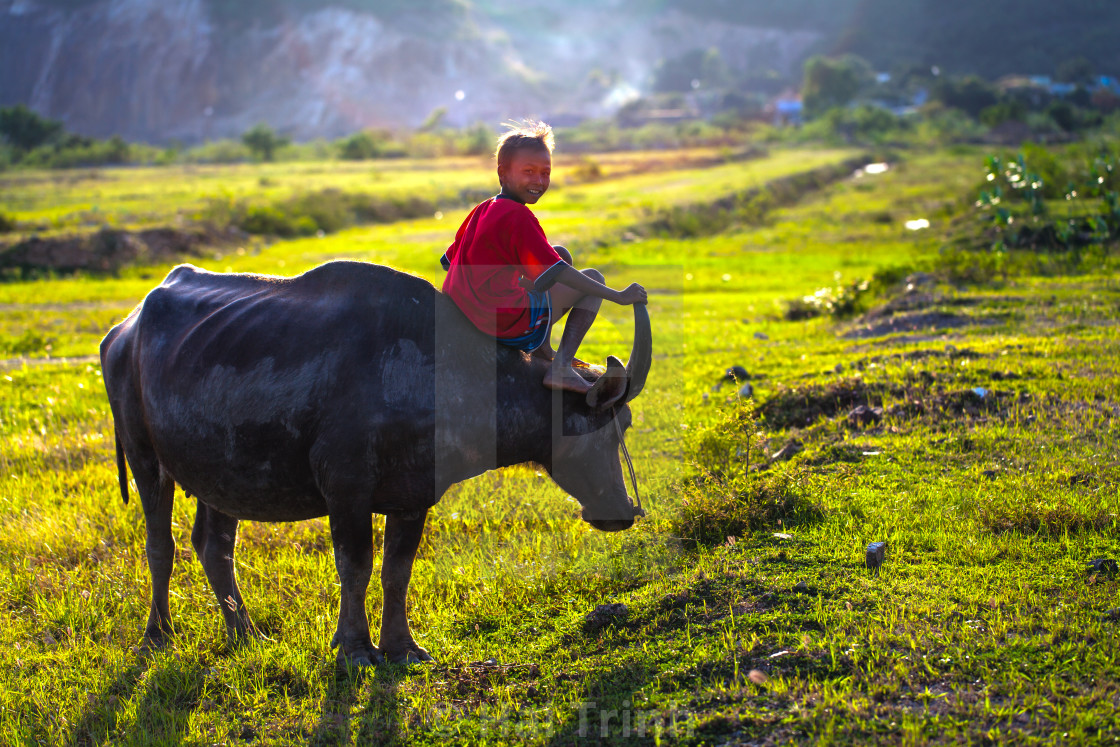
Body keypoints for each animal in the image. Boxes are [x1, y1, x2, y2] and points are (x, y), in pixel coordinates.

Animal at [104, 262, 654, 667]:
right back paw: (159, 635)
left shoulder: (413, 495)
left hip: (222, 474)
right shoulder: (345, 490)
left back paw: (246, 633)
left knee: (214, 545)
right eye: (611, 424)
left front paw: (400, 646)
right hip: (145, 457)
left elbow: (396, 570)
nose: (621, 510)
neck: (437, 371)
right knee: (161, 545)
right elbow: (356, 566)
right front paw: (353, 648)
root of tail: (123, 332)